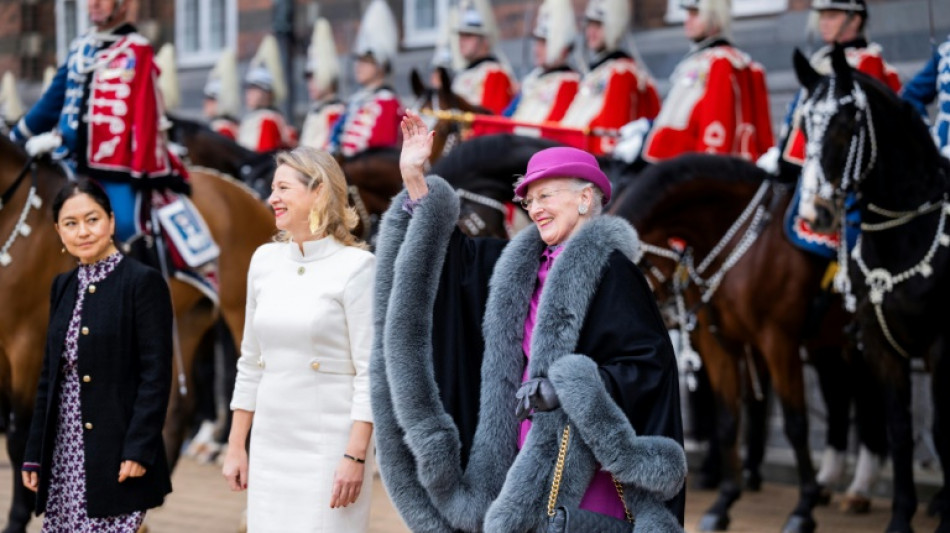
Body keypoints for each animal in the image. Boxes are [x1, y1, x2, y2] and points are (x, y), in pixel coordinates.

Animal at [0, 138, 276, 532]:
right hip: (185, 319)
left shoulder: (27, 345)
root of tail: (248, 195)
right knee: (176, 408)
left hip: (242, 317)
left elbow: (20, 436)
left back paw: (248, 513)